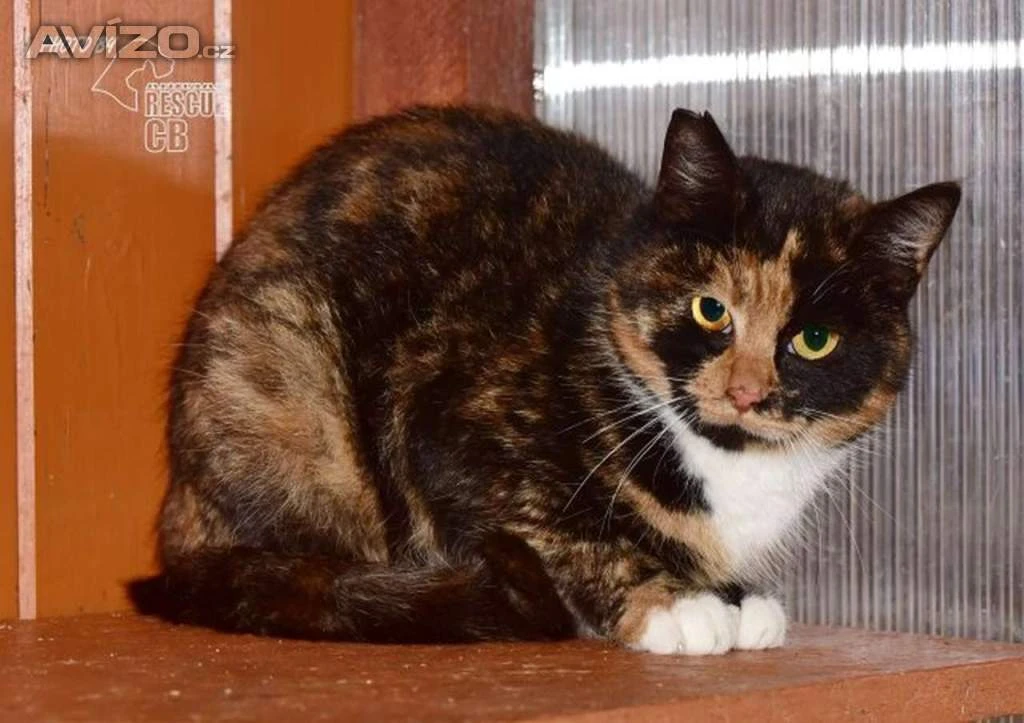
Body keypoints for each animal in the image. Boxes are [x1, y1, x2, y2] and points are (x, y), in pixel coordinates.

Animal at [130, 105, 960, 654]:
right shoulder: (442, 423)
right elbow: (560, 529)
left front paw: (734, 596)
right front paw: (671, 604)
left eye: (813, 340)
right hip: (291, 392)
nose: (746, 393)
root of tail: (179, 513)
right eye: (711, 308)